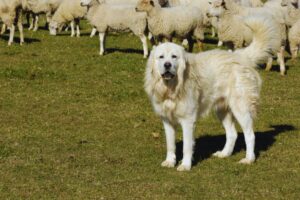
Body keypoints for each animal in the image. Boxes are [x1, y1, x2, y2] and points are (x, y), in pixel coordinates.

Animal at [145, 16, 282, 172]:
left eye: (174, 57)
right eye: (161, 57)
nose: (167, 65)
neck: (172, 88)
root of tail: (241, 56)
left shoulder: (188, 120)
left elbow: (187, 146)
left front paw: (185, 165)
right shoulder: (167, 120)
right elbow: (170, 144)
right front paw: (170, 161)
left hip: (240, 109)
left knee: (250, 135)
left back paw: (248, 159)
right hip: (222, 110)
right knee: (232, 134)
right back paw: (224, 154)